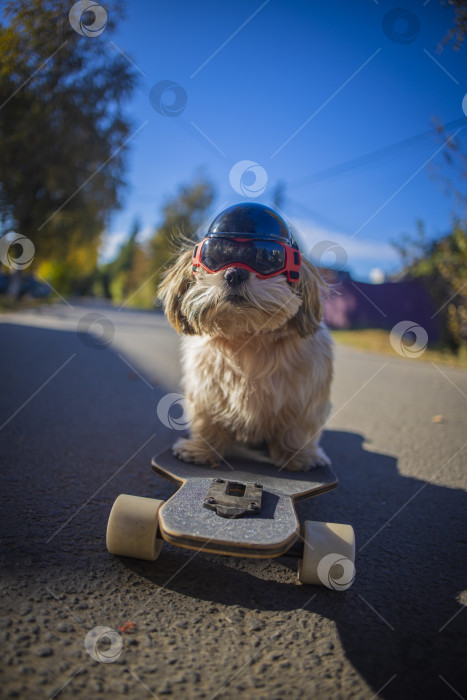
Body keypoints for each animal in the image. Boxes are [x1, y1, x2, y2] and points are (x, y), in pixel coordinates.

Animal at [159, 205, 334, 474]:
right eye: (216, 256)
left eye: (267, 258)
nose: (234, 273)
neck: (248, 337)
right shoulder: (206, 391)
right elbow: (207, 421)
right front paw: (201, 449)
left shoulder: (306, 397)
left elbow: (297, 429)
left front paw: (298, 456)